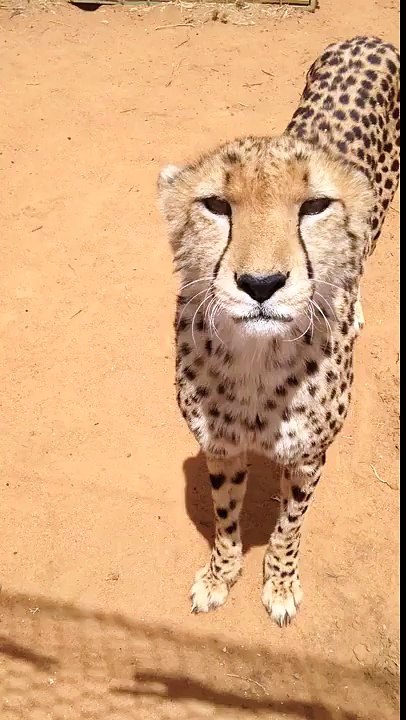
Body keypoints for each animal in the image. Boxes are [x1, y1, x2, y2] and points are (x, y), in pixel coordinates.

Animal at [157, 36, 400, 625]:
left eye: (315, 205)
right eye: (215, 205)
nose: (261, 283)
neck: (258, 360)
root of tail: (367, 38)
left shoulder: (309, 458)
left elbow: (290, 526)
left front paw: (281, 582)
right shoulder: (219, 446)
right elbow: (224, 516)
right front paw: (220, 575)